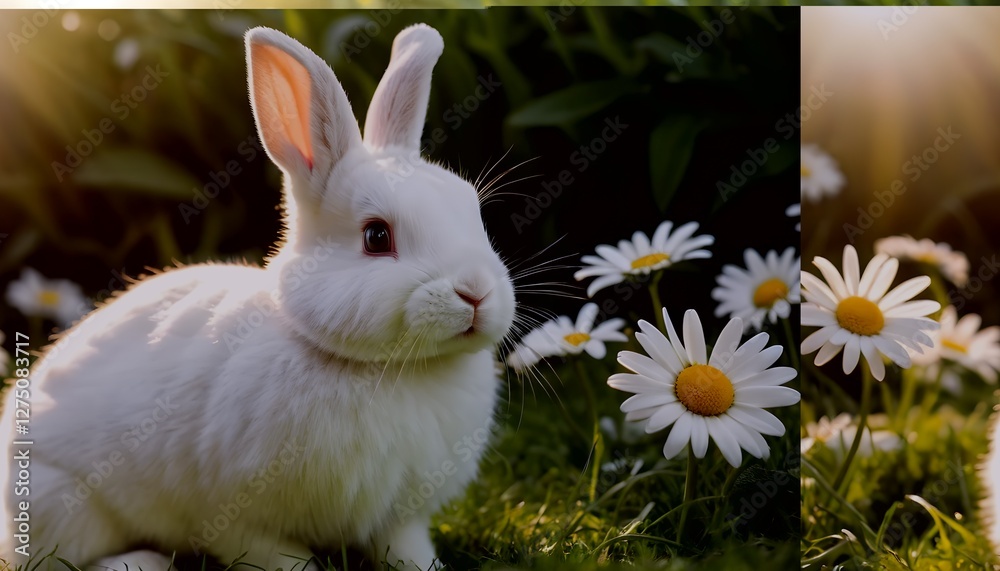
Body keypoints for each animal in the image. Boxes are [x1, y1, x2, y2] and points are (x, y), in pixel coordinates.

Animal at [0, 23, 515, 571]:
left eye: (471, 210)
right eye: (377, 237)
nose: (476, 293)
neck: (393, 369)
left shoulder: (400, 518)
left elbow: (408, 549)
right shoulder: (234, 519)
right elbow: (280, 557)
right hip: (64, 503)